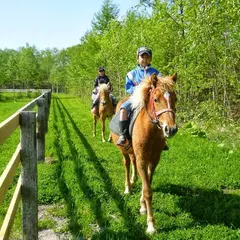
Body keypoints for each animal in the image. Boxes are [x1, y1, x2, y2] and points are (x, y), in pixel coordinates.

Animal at [111, 73, 178, 234]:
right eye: (156, 99)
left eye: (175, 99)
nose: (171, 129)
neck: (151, 131)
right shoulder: (142, 159)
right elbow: (148, 190)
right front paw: (151, 225)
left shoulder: (153, 160)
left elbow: (146, 183)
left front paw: (142, 207)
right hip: (123, 151)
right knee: (127, 165)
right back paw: (128, 187)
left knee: (133, 164)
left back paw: (133, 180)